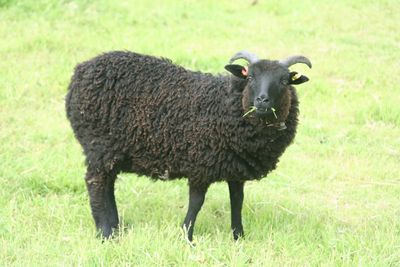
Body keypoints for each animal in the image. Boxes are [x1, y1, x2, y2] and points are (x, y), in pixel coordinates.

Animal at [65, 49, 310, 241]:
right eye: (249, 77)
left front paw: (238, 237)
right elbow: (196, 203)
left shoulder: (236, 168)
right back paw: (105, 233)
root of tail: (80, 72)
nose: (262, 100)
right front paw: (186, 236)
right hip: (99, 146)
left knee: (107, 185)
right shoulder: (200, 164)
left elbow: (237, 201)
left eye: (284, 81)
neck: (226, 105)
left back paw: (116, 228)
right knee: (96, 184)